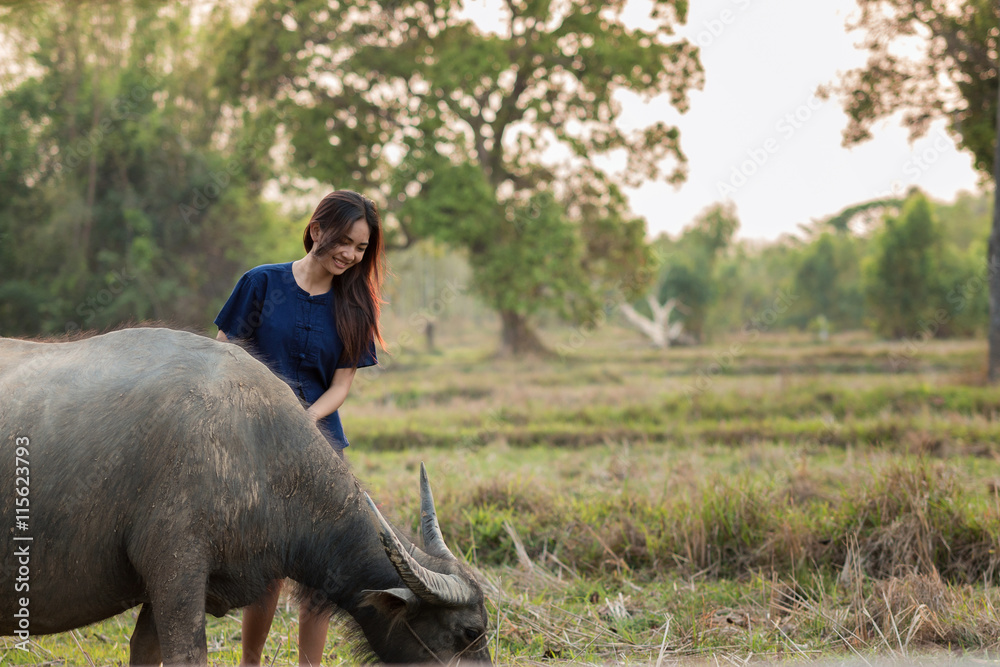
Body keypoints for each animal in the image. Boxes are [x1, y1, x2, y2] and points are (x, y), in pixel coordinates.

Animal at [0, 328, 492, 664]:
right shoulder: (176, 567)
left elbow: (145, 651)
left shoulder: (163, 589)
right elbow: (187, 654)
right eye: (469, 632)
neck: (256, 445)